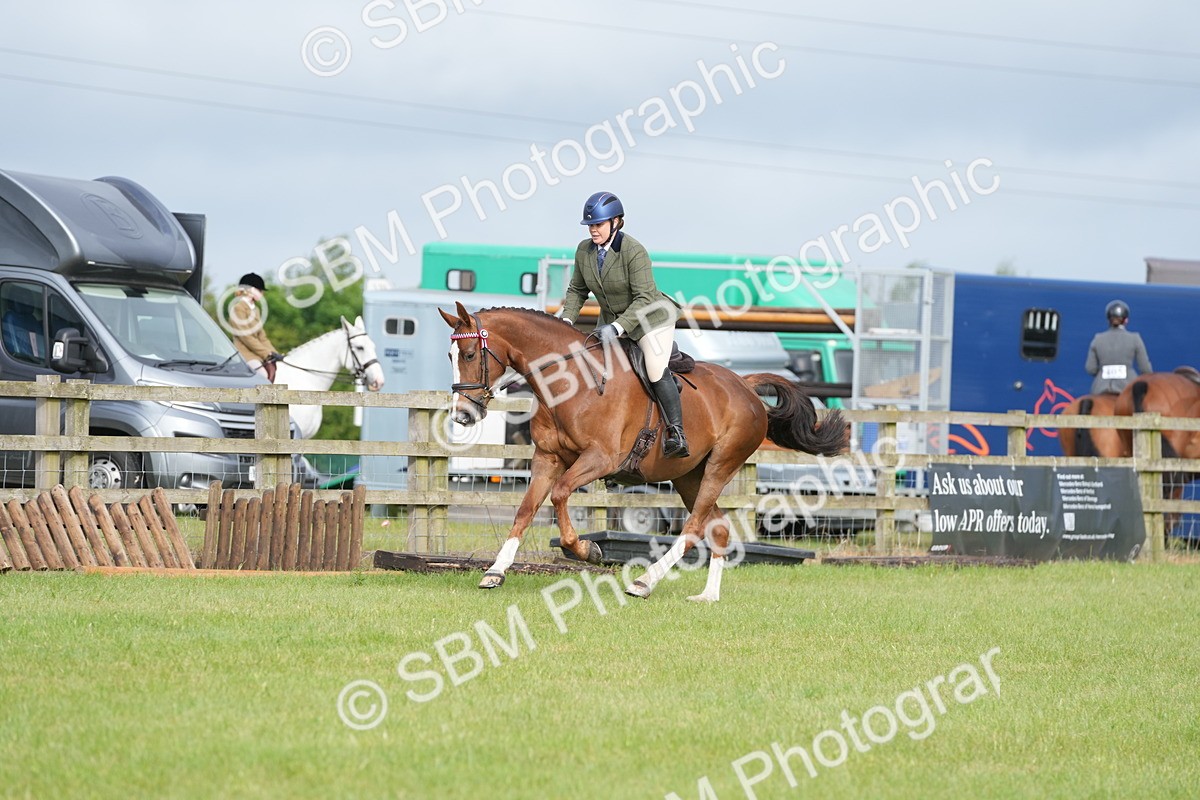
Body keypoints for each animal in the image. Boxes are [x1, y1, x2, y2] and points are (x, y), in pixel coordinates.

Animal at [439, 302, 848, 602]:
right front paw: (495, 571)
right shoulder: (547, 459)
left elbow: (560, 495)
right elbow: (526, 510)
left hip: (721, 465)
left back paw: (644, 582)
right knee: (718, 527)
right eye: (450, 355)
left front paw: (586, 550)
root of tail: (745, 385)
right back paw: (707, 596)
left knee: (694, 526)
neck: (569, 383)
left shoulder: (599, 459)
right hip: (688, 476)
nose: (463, 414)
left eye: (471, 353)